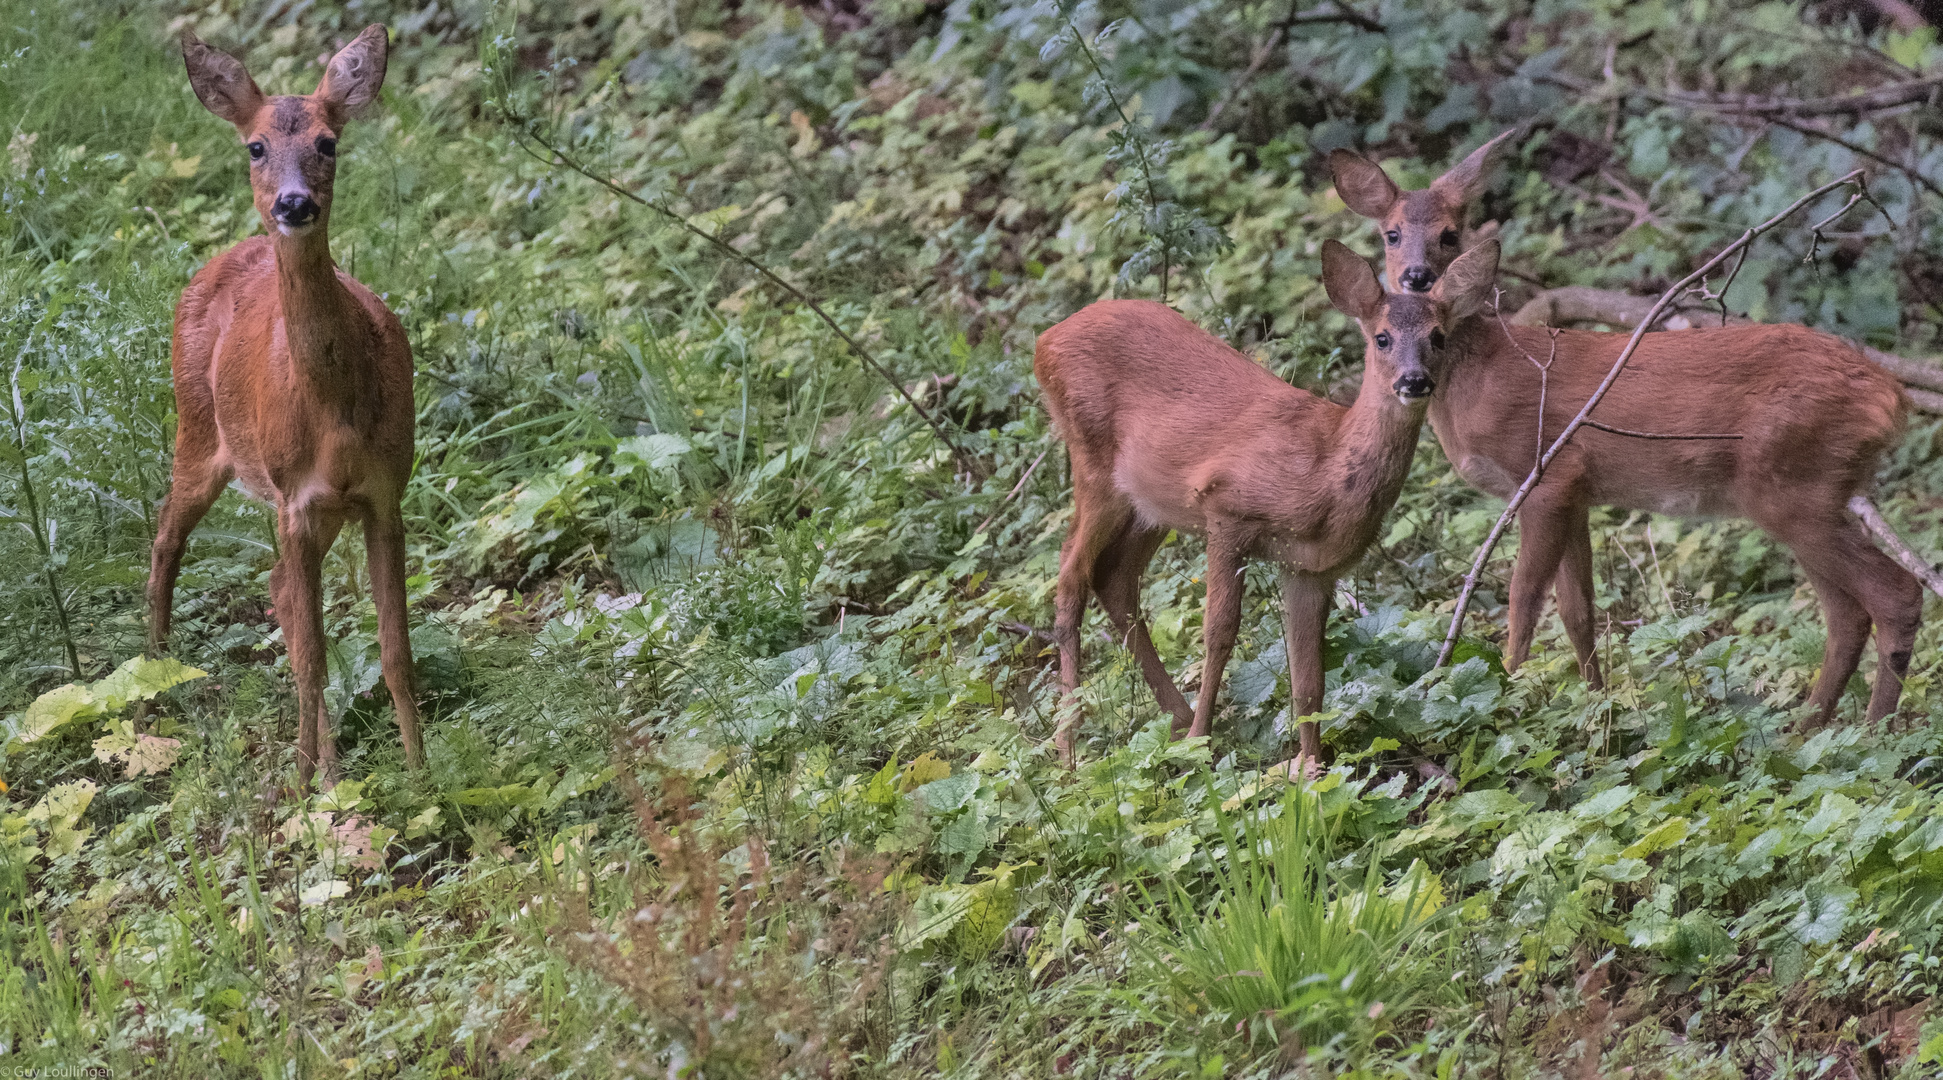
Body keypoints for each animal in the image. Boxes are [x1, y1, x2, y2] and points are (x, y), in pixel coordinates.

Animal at [148, 27, 425, 784]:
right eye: (255, 146)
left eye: (329, 142)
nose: (294, 205)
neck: (333, 411)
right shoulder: (294, 498)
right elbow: (312, 658)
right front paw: (309, 784)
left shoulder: (383, 492)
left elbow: (393, 649)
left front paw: (420, 770)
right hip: (198, 430)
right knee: (165, 536)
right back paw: (153, 676)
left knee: (275, 587)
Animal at [1033, 236, 1499, 765]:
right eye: (1382, 338)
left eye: (1438, 336)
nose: (1414, 380)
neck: (1324, 471)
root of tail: (1044, 341)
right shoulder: (1225, 508)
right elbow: (1219, 632)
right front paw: (1201, 744)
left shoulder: (1310, 568)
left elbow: (1308, 676)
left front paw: (1311, 766)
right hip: (1093, 463)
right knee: (1070, 576)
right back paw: (1071, 747)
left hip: (1151, 503)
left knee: (1113, 577)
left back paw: (1173, 718)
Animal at [1329, 138, 1919, 722]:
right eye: (1391, 232)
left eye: (1450, 233)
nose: (1418, 277)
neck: (1483, 374)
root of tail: (1891, 396)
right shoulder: (1578, 492)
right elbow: (1578, 609)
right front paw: (1597, 703)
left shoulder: (1546, 475)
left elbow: (1525, 601)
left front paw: (1506, 693)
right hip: (1810, 494)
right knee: (1847, 612)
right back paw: (1808, 727)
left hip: (1790, 486)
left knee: (1895, 594)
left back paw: (1874, 730)